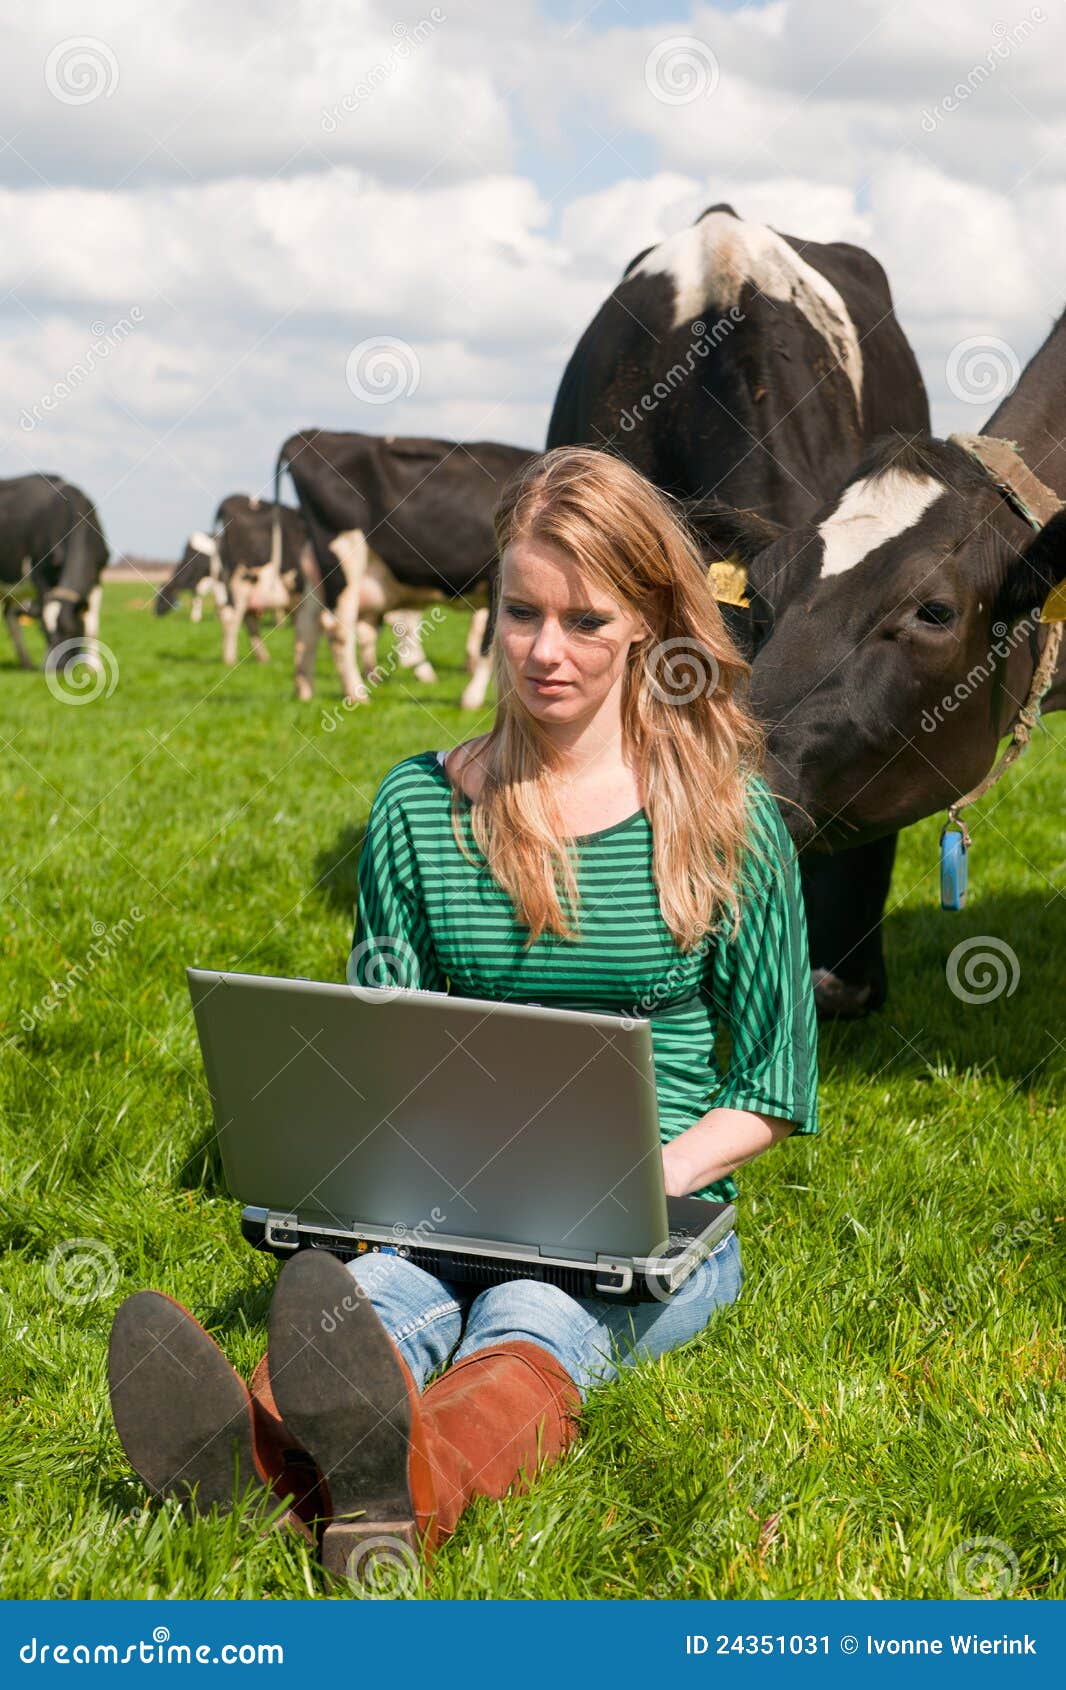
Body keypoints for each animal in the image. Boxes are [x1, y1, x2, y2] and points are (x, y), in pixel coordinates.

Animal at [0, 473, 109, 674]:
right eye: (44, 633)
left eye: (70, 631)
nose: (55, 668)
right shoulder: (39, 576)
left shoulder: (97, 577)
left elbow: (92, 625)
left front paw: (94, 666)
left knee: (10, 617)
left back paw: (26, 662)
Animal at [274, 431, 535, 706]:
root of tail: (310, 434)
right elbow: (492, 643)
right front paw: (472, 699)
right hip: (344, 556)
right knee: (337, 629)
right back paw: (357, 695)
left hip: (316, 571)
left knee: (307, 627)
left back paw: (305, 691)